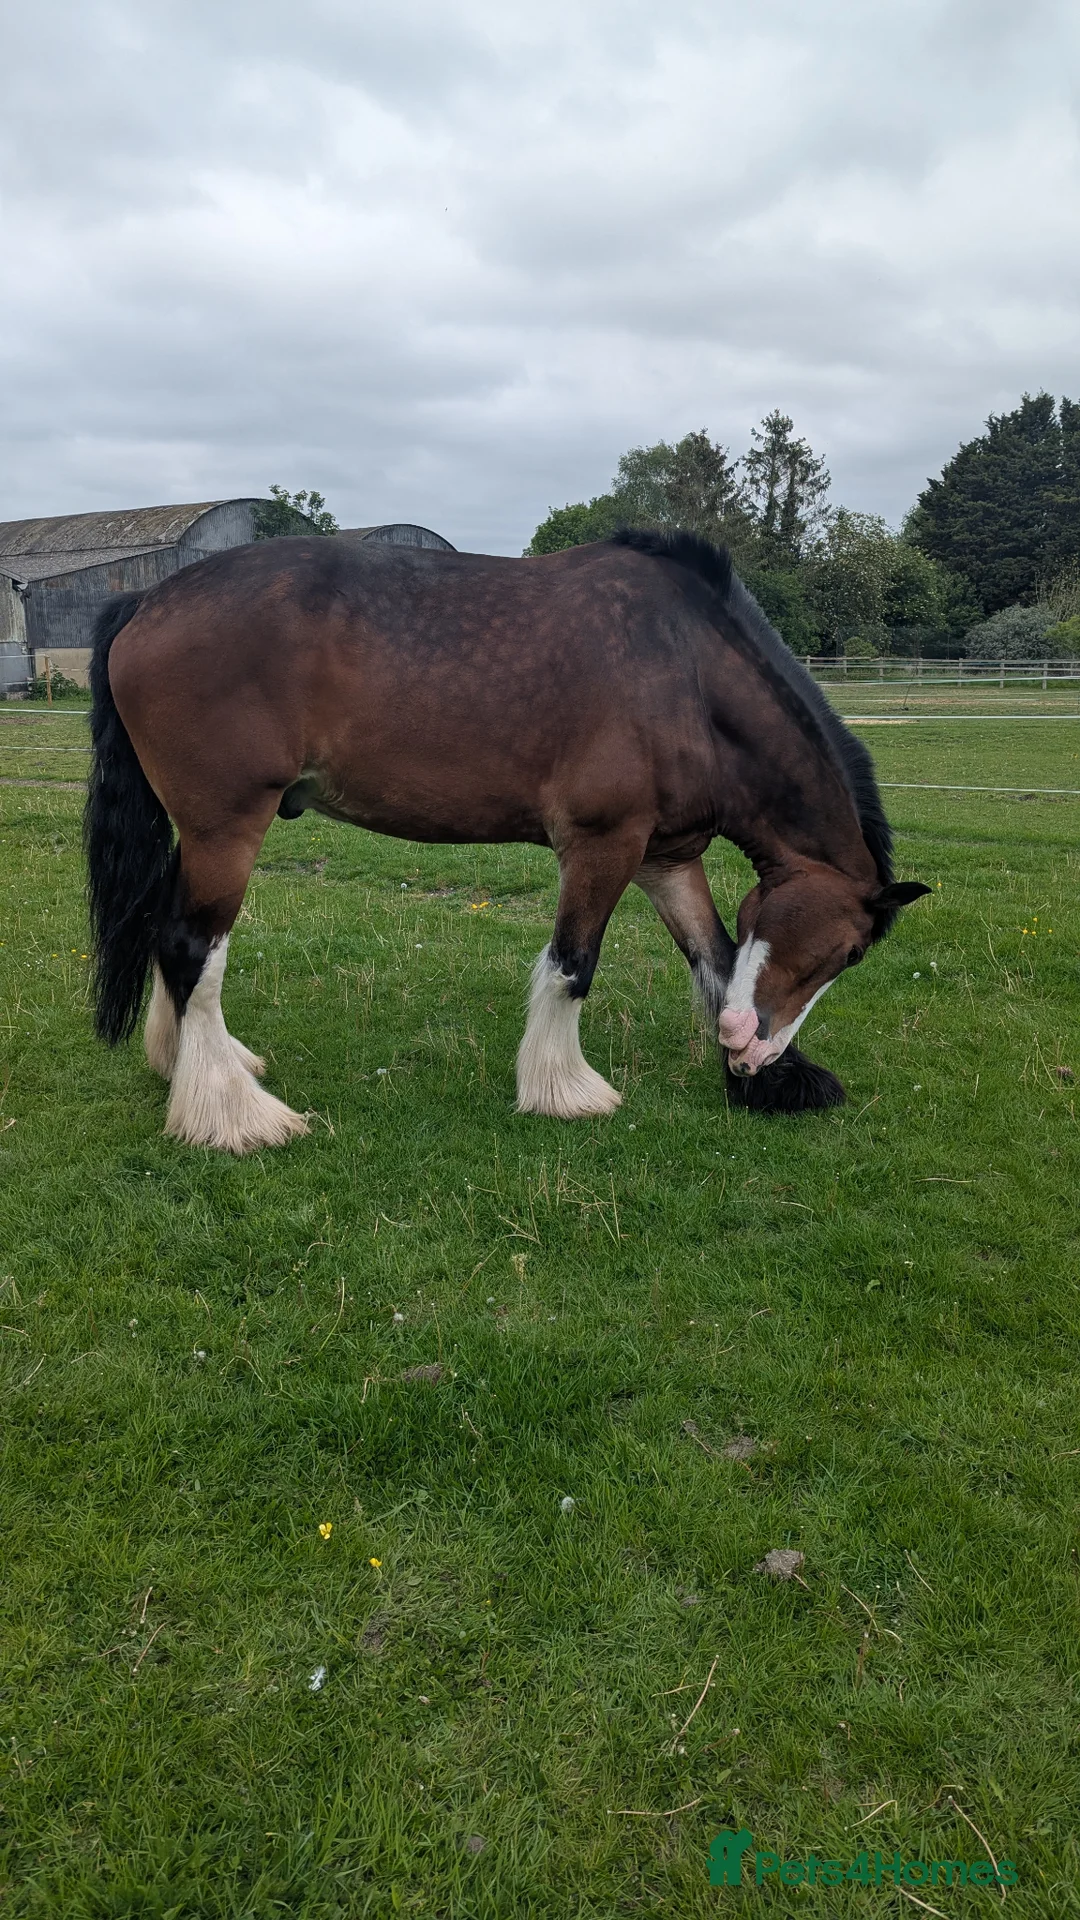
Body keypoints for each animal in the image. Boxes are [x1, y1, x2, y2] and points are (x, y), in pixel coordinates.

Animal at [84, 527, 928, 1154]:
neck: (685, 670)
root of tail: (143, 600)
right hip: (226, 827)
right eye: (851, 951)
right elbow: (574, 964)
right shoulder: (601, 843)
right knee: (192, 948)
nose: (751, 1050)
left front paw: (769, 1085)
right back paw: (234, 1112)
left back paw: (190, 1065)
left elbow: (716, 960)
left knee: (167, 934)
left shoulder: (667, 857)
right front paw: (565, 1091)